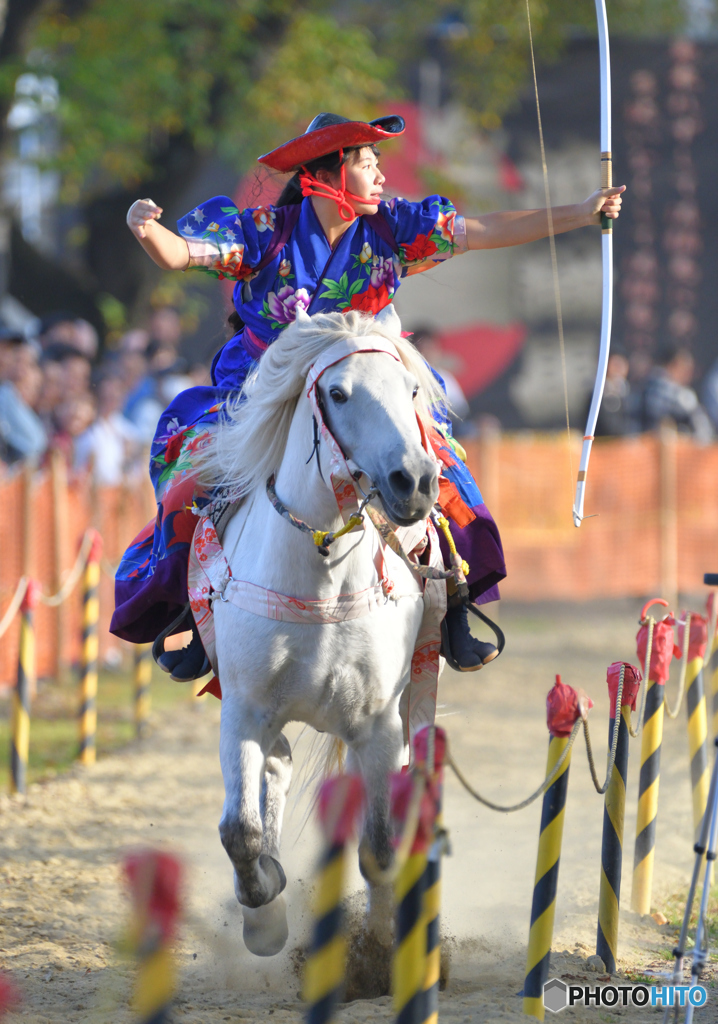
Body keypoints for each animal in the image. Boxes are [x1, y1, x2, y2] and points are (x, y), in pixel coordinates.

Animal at [195, 303, 442, 958]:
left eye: (411, 389)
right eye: (337, 392)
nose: (414, 482)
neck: (321, 578)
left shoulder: (378, 723)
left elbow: (379, 848)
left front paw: (377, 950)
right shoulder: (244, 710)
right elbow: (239, 831)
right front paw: (264, 917)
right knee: (275, 768)